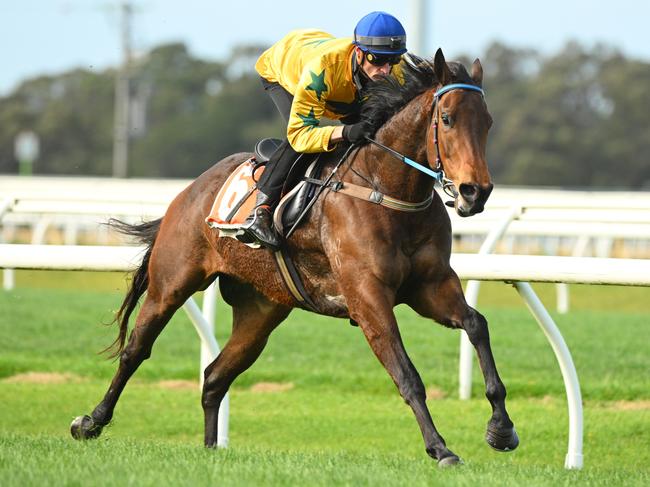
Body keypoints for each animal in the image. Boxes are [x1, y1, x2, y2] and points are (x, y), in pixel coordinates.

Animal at [71, 48, 516, 466]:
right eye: (448, 119)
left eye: (488, 122)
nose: (475, 192)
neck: (386, 188)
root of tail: (191, 190)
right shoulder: (368, 298)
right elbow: (407, 374)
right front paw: (440, 448)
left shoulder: (431, 286)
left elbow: (477, 324)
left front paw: (501, 428)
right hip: (172, 283)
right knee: (135, 350)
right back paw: (90, 422)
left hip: (261, 310)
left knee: (215, 376)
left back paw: (211, 448)